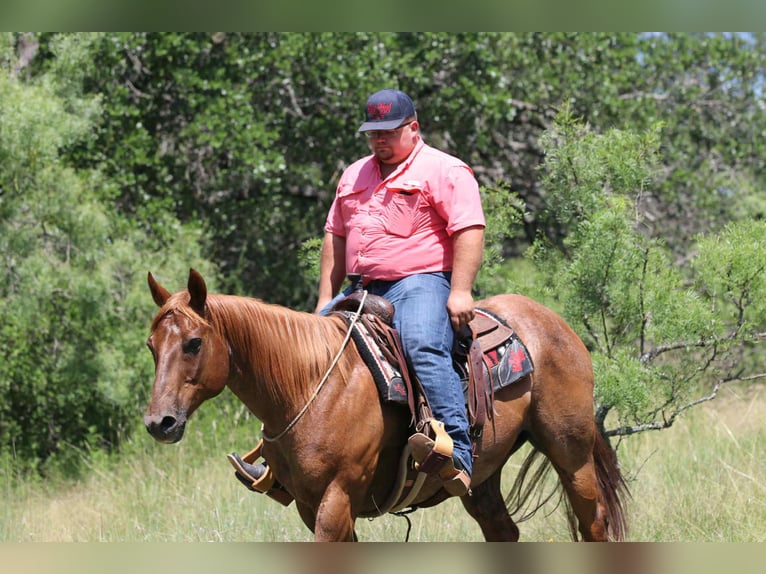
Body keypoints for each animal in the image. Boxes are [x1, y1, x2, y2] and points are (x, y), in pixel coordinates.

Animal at [144, 268, 628, 542]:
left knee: (595, 525)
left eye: (193, 343)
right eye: (152, 345)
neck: (308, 386)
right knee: (503, 532)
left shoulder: (337, 499)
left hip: (571, 453)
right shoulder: (310, 506)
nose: (158, 422)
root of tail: (554, 323)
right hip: (484, 477)